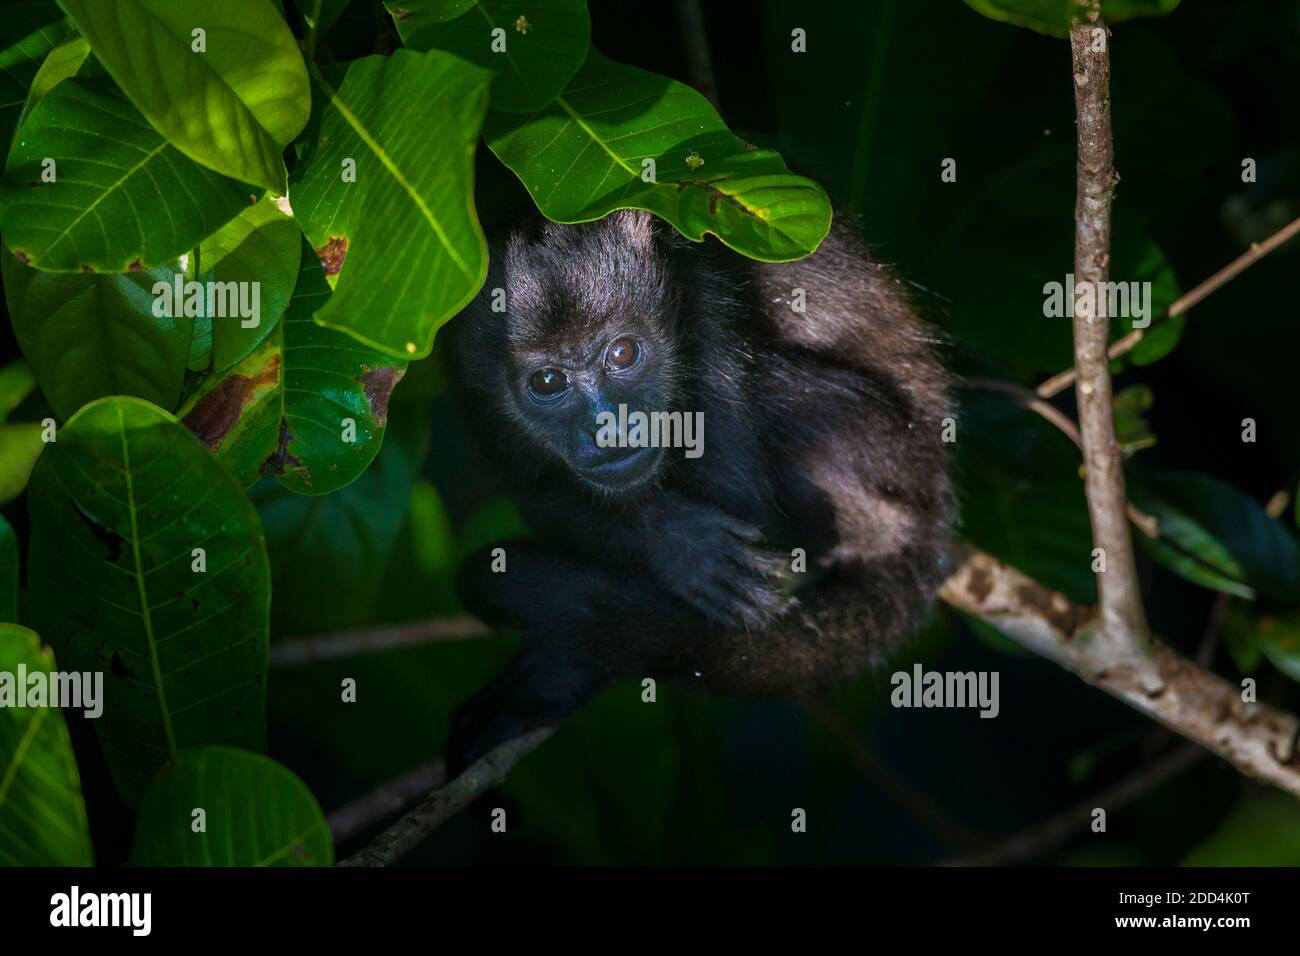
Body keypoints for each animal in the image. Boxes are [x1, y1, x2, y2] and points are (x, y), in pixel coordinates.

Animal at [444, 208, 956, 770]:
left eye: (622, 352)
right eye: (548, 382)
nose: (610, 428)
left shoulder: (711, 317)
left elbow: (745, 504)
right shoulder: (464, 380)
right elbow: (535, 491)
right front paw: (683, 545)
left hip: (881, 460)